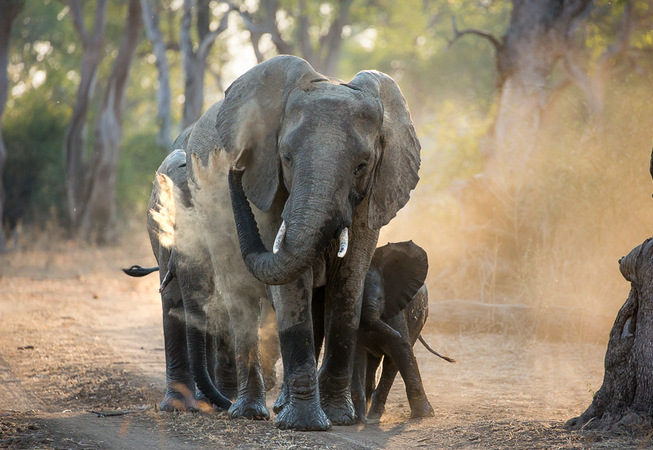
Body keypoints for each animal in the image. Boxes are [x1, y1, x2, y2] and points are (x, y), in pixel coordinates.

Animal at [183, 54, 420, 430]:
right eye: (287, 158)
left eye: (362, 165)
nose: (235, 166)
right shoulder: (268, 183)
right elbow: (292, 287)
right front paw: (305, 425)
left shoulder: (372, 196)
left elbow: (348, 283)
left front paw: (339, 418)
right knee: (241, 300)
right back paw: (250, 412)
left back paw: (281, 406)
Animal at [352, 241, 454, 424]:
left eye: (381, 299)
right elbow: (357, 353)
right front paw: (358, 417)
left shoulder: (395, 311)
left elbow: (400, 349)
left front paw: (425, 416)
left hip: (420, 319)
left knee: (391, 361)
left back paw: (375, 414)